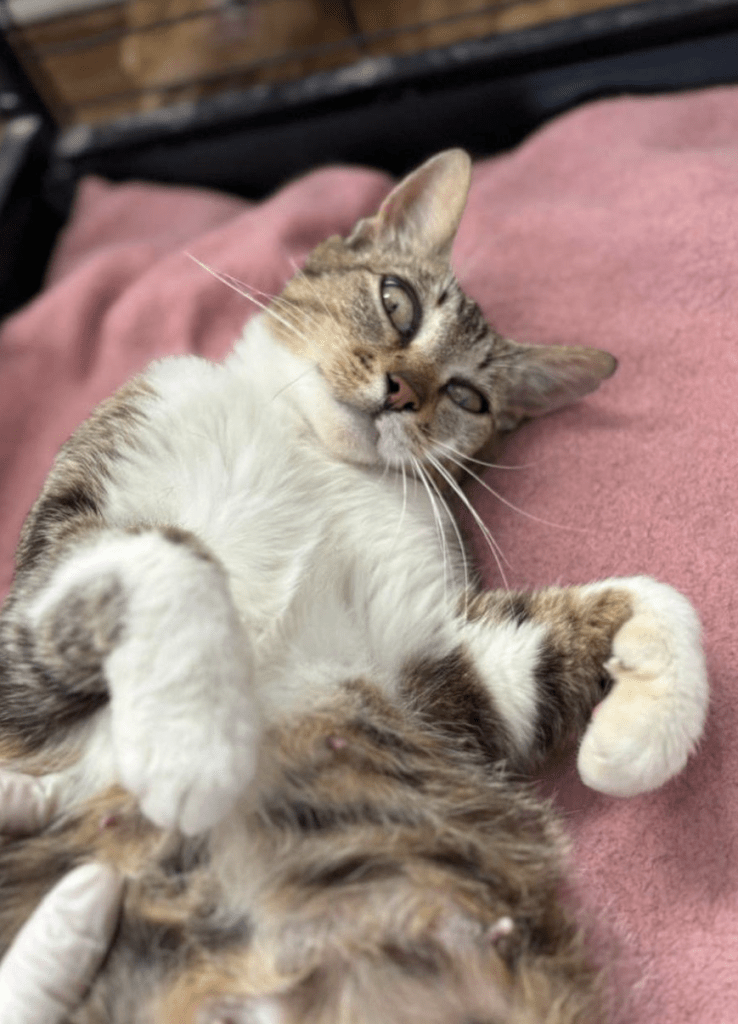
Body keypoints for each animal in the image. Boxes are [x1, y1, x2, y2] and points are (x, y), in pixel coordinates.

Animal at [0, 148, 708, 1019]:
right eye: (397, 301)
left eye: (468, 395)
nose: (402, 390)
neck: (307, 448)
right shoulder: (50, 569)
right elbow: (166, 548)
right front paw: (192, 744)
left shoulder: (416, 661)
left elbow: (615, 616)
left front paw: (636, 734)